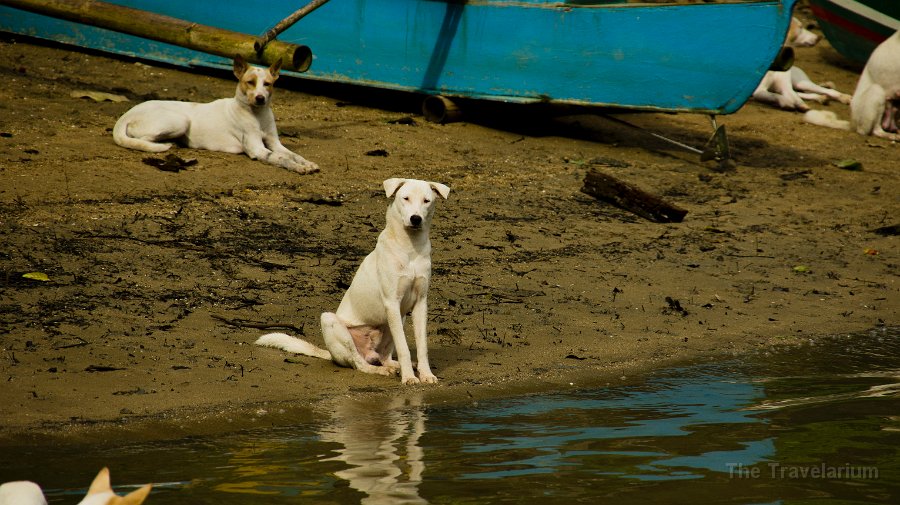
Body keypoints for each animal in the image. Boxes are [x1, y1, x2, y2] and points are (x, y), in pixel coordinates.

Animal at [112, 54, 318, 173]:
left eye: (267, 84)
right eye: (250, 82)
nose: (260, 98)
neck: (258, 114)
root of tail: (127, 114)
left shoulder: (275, 143)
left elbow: (293, 154)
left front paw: (306, 163)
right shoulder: (257, 149)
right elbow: (281, 158)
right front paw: (297, 168)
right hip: (180, 121)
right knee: (143, 140)